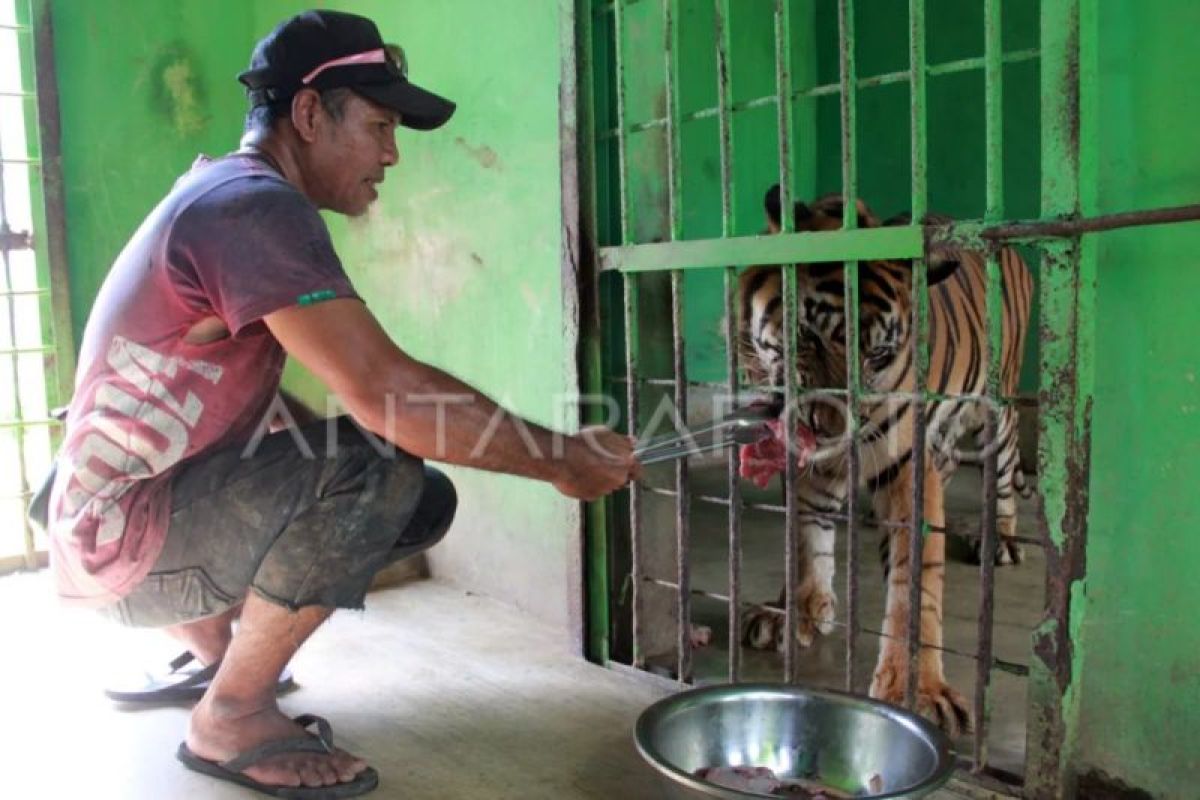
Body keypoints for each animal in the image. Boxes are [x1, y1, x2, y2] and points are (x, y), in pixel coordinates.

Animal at [734, 185, 1036, 734]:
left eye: (876, 356)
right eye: (808, 336)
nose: (828, 430)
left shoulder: (907, 465)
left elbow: (913, 583)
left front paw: (916, 689)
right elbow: (806, 536)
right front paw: (796, 609)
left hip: (997, 410)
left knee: (1002, 475)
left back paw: (1000, 538)